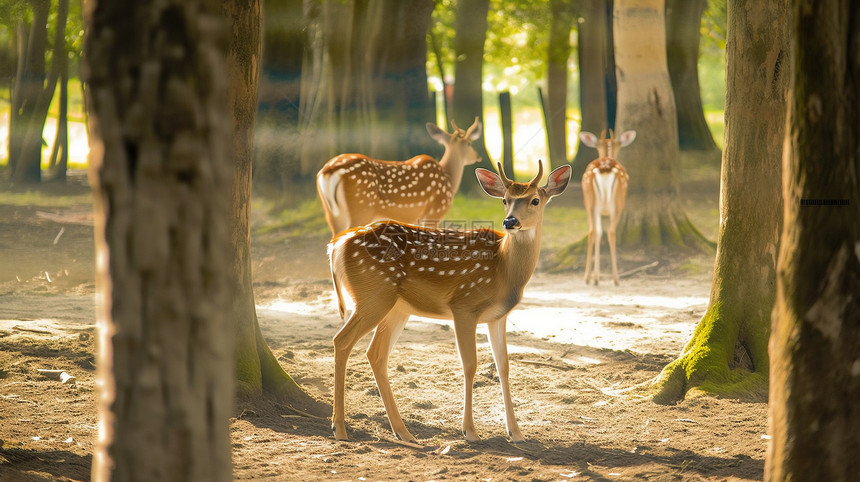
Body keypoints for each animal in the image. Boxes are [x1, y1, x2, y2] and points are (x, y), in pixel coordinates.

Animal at [316, 117, 484, 236]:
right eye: (470, 143)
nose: (478, 156)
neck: (448, 177)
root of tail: (328, 171)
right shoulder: (434, 212)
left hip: (332, 214)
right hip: (360, 208)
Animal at [328, 160, 572, 442]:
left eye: (535, 200)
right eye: (505, 200)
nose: (510, 221)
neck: (504, 268)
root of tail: (336, 246)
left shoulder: (497, 317)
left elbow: (504, 367)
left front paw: (516, 433)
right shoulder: (463, 305)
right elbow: (469, 365)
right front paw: (470, 431)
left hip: (395, 306)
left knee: (375, 353)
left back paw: (403, 432)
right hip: (372, 295)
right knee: (342, 341)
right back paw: (340, 428)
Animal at [576, 129, 640, 286]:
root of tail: (605, 167)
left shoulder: (591, 206)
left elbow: (595, 233)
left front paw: (592, 277)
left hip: (593, 203)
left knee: (596, 231)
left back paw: (596, 278)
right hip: (614, 203)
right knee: (607, 231)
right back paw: (613, 279)